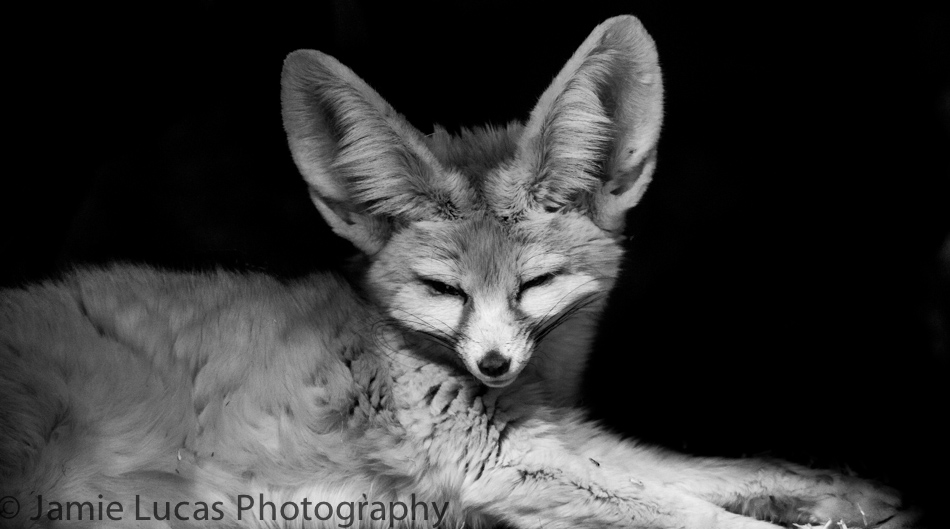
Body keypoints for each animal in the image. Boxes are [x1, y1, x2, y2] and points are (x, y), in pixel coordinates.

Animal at [0, 15, 918, 529]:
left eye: (535, 284)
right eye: (442, 290)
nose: (493, 363)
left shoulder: (552, 431)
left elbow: (700, 469)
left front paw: (835, 492)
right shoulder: (493, 462)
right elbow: (686, 507)